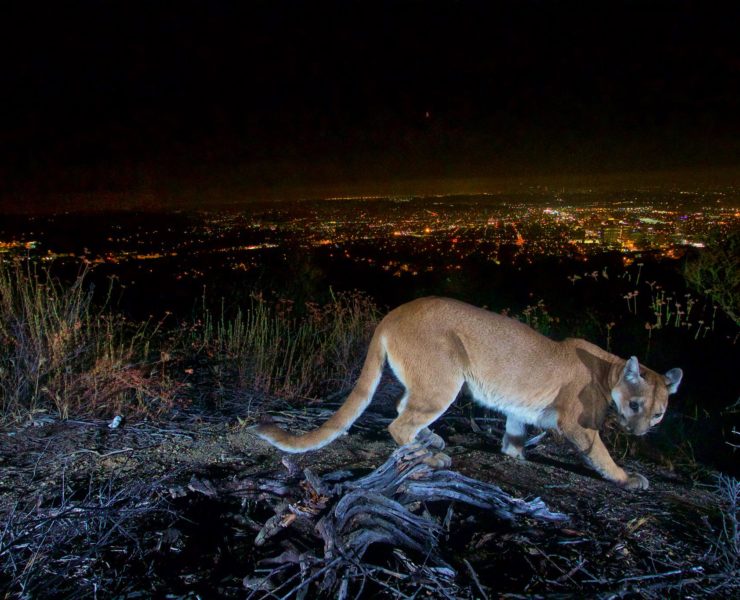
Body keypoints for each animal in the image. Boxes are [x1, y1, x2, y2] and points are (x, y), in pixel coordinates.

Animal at [256, 298, 684, 490]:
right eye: (635, 405)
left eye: (658, 413)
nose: (640, 432)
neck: (609, 369)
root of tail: (393, 313)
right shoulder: (577, 423)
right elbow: (600, 453)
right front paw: (627, 478)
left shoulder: (519, 408)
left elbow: (514, 432)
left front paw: (515, 455)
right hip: (445, 380)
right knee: (399, 423)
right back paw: (432, 455)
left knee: (403, 407)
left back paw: (431, 439)